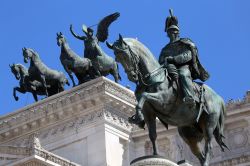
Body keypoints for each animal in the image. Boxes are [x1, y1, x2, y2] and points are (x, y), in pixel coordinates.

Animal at [106, 35, 228, 166]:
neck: (153, 77)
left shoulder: (163, 100)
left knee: (208, 145)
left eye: (125, 55)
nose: (132, 76)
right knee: (199, 153)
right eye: (117, 58)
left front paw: (138, 116)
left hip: (209, 123)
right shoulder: (149, 112)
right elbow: (152, 135)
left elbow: (144, 95)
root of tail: (219, 98)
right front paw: (154, 153)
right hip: (188, 132)